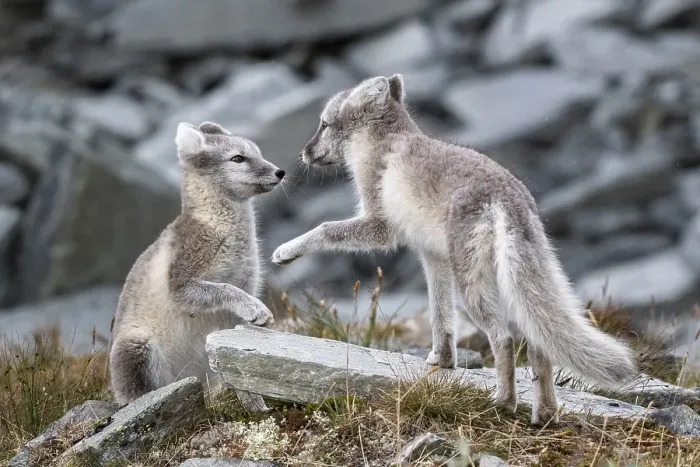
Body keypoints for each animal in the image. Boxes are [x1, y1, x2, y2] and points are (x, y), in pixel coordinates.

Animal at [109, 121, 284, 410]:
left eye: (257, 153)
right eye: (238, 158)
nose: (280, 172)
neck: (218, 227)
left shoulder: (237, 304)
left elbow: (241, 369)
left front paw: (258, 407)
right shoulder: (180, 284)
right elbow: (225, 288)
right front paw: (256, 308)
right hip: (136, 347)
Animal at [271, 74, 637, 425]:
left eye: (323, 124)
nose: (303, 153)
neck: (383, 142)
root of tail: (509, 197)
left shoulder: (380, 226)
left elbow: (325, 228)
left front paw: (287, 251)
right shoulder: (434, 257)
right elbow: (440, 314)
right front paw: (443, 360)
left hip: (472, 286)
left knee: (504, 338)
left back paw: (503, 402)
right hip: (507, 279)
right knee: (539, 345)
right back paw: (544, 415)